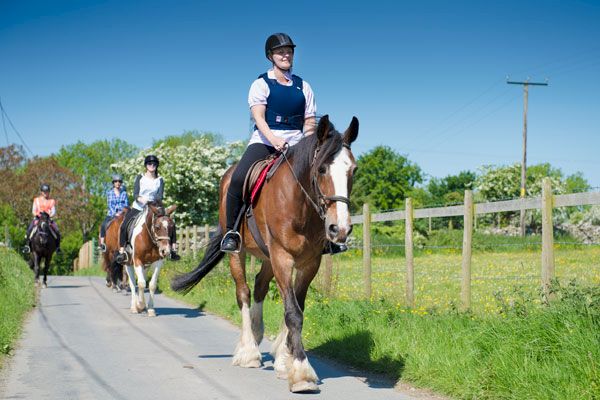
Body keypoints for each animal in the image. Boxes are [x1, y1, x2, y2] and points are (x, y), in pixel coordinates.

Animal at [171, 115, 358, 394]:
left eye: (352, 170)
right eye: (322, 169)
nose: (340, 229)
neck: (299, 204)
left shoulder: (309, 262)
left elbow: (297, 306)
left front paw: (286, 359)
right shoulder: (282, 257)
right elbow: (292, 312)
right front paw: (301, 372)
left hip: (268, 257)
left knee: (259, 286)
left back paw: (262, 340)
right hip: (238, 254)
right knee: (244, 293)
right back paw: (248, 351)